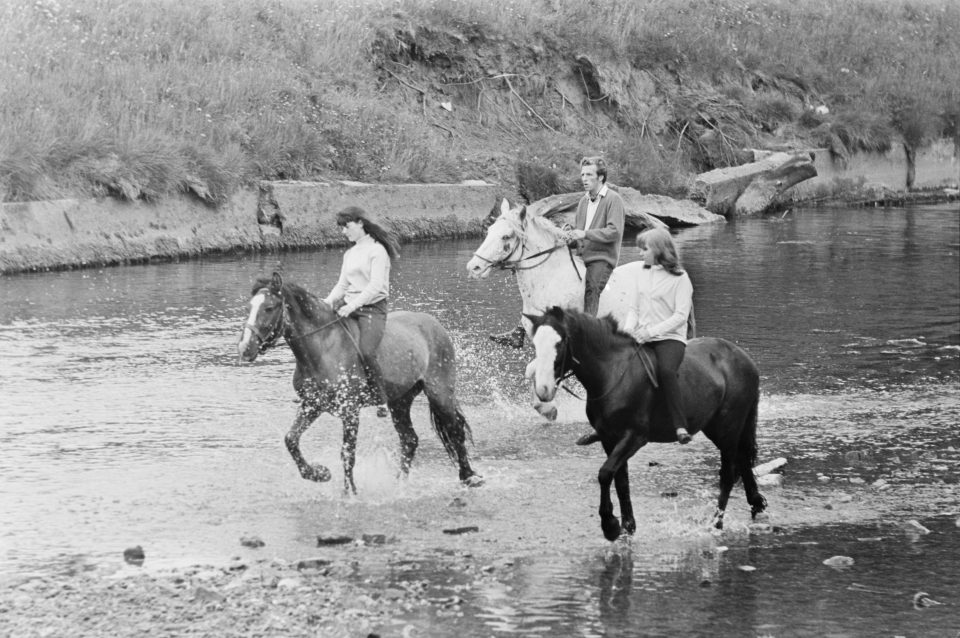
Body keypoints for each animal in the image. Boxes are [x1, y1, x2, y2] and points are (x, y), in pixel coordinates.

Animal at [237, 274, 484, 496]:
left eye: (269, 308)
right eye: (250, 307)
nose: (245, 348)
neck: (323, 349)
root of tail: (434, 324)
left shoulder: (350, 411)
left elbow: (347, 454)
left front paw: (350, 493)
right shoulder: (312, 405)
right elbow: (291, 440)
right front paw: (319, 474)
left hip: (440, 392)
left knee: (455, 432)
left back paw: (469, 478)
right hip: (400, 401)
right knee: (410, 439)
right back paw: (398, 483)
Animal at [524, 308, 764, 544]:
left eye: (560, 342)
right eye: (535, 343)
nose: (543, 390)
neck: (614, 373)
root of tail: (745, 359)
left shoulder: (634, 436)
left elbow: (605, 473)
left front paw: (610, 525)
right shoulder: (609, 438)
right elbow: (621, 480)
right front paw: (627, 526)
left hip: (728, 428)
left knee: (728, 474)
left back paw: (716, 523)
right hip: (717, 428)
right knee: (743, 460)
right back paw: (756, 503)